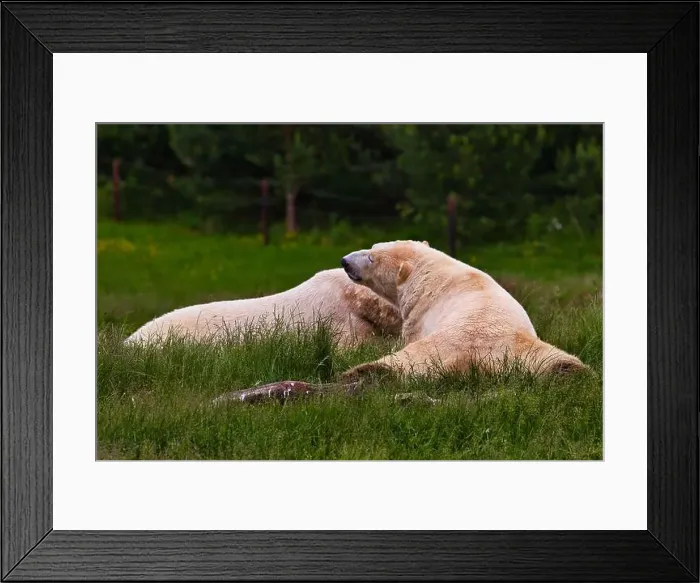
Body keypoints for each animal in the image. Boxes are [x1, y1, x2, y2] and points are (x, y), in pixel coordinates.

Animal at [339, 240, 587, 379]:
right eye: (372, 247)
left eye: (371, 258)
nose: (345, 261)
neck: (430, 270)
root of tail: (470, 359)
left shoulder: (418, 315)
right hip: (519, 350)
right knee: (555, 359)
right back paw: (571, 371)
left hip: (435, 347)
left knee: (399, 361)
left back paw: (360, 372)